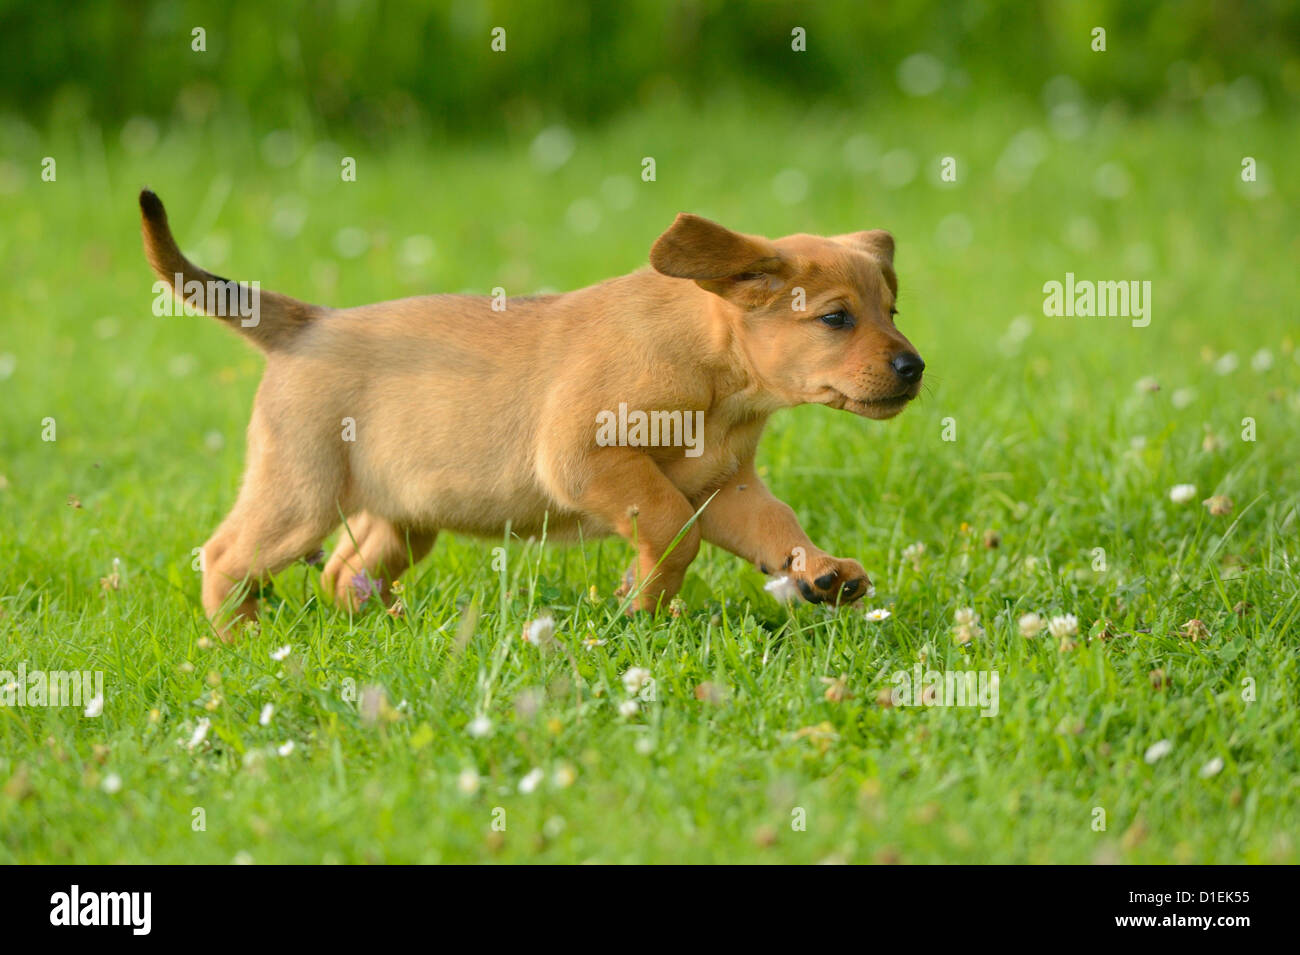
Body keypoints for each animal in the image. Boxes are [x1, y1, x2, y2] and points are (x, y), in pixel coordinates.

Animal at [137, 191, 920, 639]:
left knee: (344, 572)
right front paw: (641, 603)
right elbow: (671, 532)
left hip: (402, 516)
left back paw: (389, 631)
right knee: (227, 555)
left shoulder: (725, 487)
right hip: (300, 494)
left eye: (892, 311)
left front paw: (822, 573)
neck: (719, 383)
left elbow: (777, 526)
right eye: (837, 318)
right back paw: (240, 640)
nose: (914, 368)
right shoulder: (588, 457)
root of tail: (308, 322)